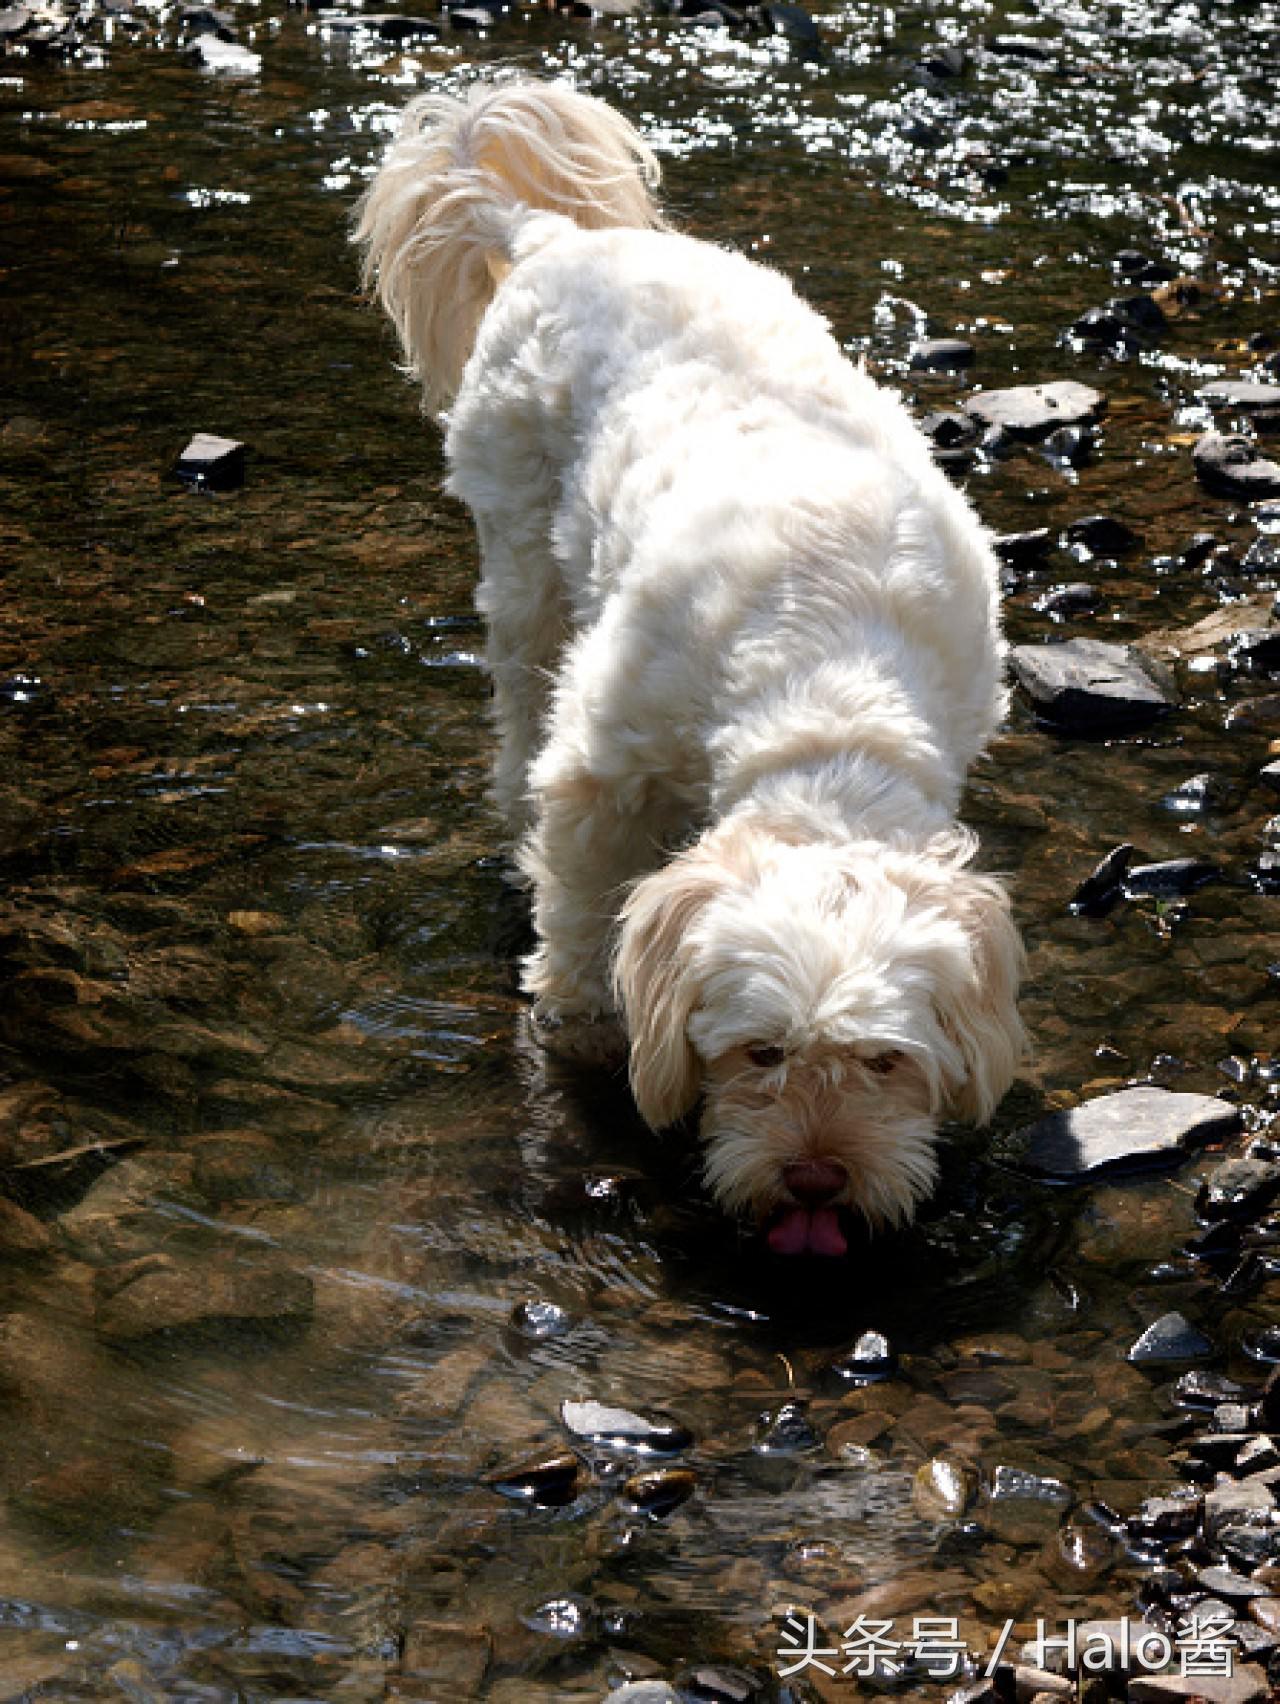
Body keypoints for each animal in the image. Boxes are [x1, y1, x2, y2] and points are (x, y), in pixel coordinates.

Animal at [356, 76, 1029, 1254]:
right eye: (758, 1052)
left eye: (884, 1060)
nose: (817, 1181)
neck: (830, 684)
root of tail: (552, 236)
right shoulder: (600, 766)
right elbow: (582, 904)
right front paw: (580, 1012)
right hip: (523, 562)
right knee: (519, 698)